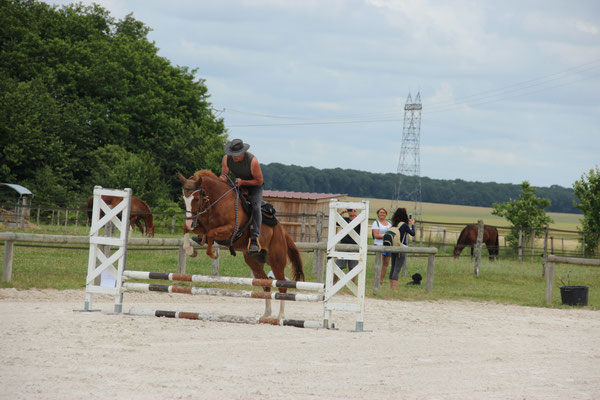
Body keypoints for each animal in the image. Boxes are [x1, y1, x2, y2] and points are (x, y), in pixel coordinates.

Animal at [176, 170, 302, 320]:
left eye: (196, 199)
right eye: (184, 198)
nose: (190, 221)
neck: (217, 202)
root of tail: (282, 231)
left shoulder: (230, 230)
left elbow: (211, 234)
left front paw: (213, 253)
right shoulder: (201, 225)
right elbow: (188, 230)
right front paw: (191, 251)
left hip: (276, 262)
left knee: (281, 285)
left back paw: (280, 316)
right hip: (254, 262)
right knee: (265, 284)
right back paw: (266, 314)